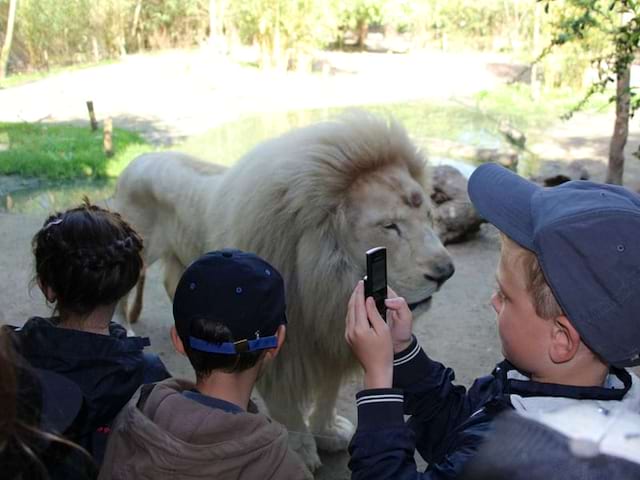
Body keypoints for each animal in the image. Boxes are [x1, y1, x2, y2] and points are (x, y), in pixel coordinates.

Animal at [115, 113, 456, 472]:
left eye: (429, 216)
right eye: (389, 226)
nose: (445, 273)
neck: (324, 285)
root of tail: (138, 159)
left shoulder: (330, 339)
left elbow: (328, 392)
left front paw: (328, 432)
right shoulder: (283, 349)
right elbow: (285, 406)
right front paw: (301, 452)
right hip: (138, 254)